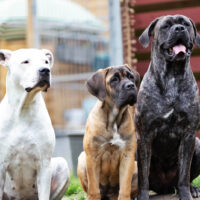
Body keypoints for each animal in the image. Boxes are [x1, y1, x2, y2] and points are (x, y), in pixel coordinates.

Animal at [0, 48, 70, 200]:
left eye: (46, 61)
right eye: (26, 61)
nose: (45, 70)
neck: (23, 110)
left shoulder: (44, 164)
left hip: (62, 164)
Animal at [77, 65, 139, 199]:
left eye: (131, 77)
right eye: (114, 80)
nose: (131, 85)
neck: (113, 119)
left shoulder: (127, 156)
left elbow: (124, 188)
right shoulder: (92, 156)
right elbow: (94, 188)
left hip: (136, 166)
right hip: (82, 159)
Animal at [136, 15, 200, 200]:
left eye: (185, 24)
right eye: (165, 26)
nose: (179, 28)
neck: (173, 75)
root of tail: (164, 188)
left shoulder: (188, 135)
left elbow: (184, 173)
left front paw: (186, 194)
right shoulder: (144, 135)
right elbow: (143, 176)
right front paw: (142, 196)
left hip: (198, 144)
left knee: (183, 179)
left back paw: (193, 189)